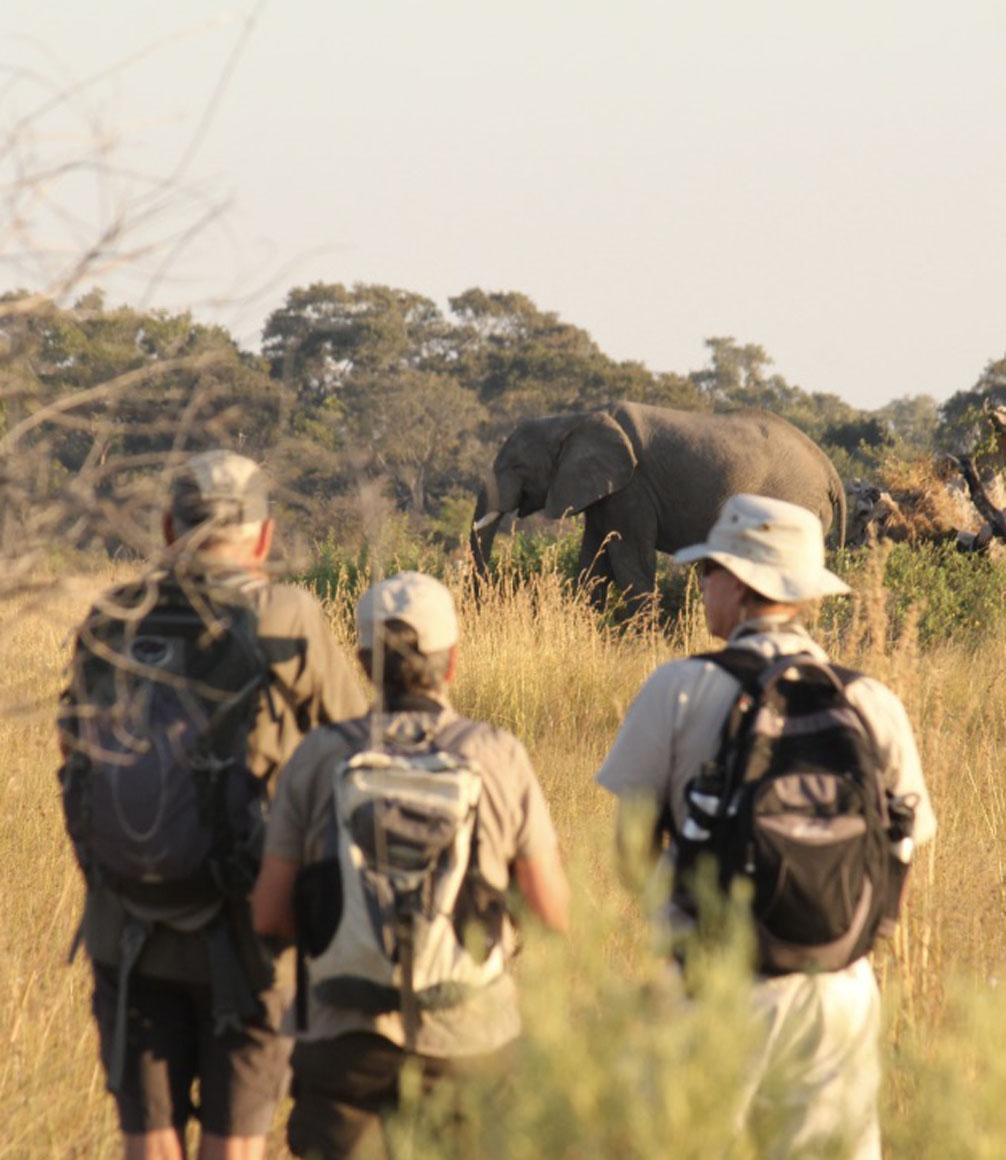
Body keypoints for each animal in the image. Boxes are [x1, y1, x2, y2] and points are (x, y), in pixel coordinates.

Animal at [471, 401, 847, 612]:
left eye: (516, 466)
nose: (485, 598)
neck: (573, 419)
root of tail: (832, 474)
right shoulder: (606, 490)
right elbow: (594, 561)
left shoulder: (632, 487)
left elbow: (629, 561)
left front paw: (638, 648)